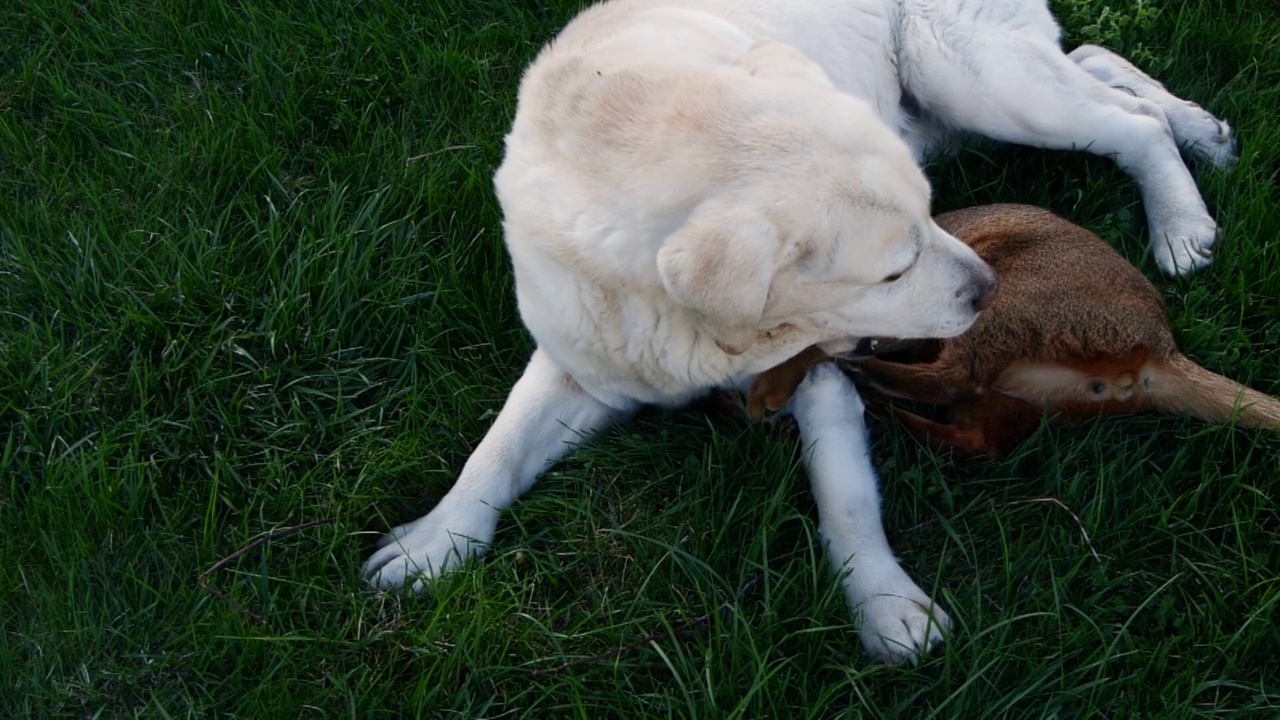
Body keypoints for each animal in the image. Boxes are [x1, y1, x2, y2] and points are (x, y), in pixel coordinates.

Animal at [360, 0, 1228, 661]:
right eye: (893, 270)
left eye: (931, 212)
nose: (988, 291)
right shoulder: (586, 358)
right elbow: (496, 450)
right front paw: (432, 545)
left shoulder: (821, 376)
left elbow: (846, 502)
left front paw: (889, 610)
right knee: (1099, 64)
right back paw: (1205, 130)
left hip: (978, 80)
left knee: (1129, 123)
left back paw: (1182, 222)